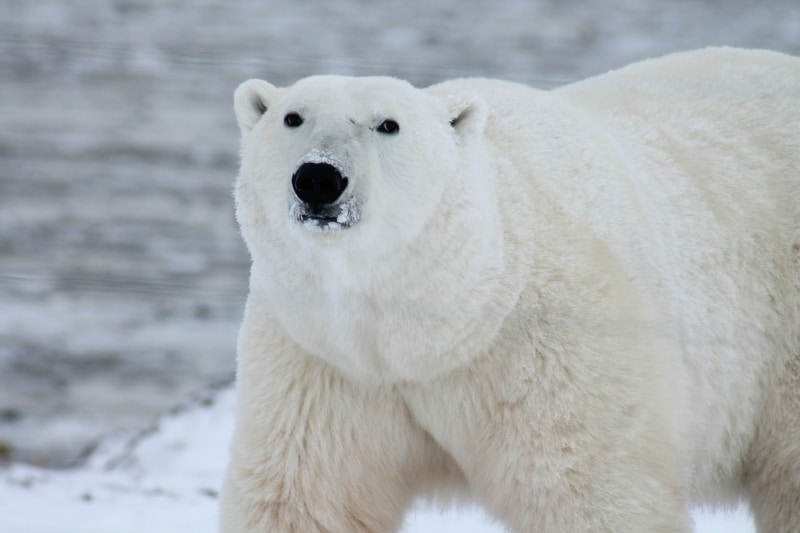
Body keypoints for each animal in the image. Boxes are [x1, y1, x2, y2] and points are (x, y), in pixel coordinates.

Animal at [220, 47, 800, 528]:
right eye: (293, 117)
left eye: (388, 124)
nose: (319, 178)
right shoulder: (324, 362)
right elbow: (307, 497)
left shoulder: (554, 350)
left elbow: (591, 492)